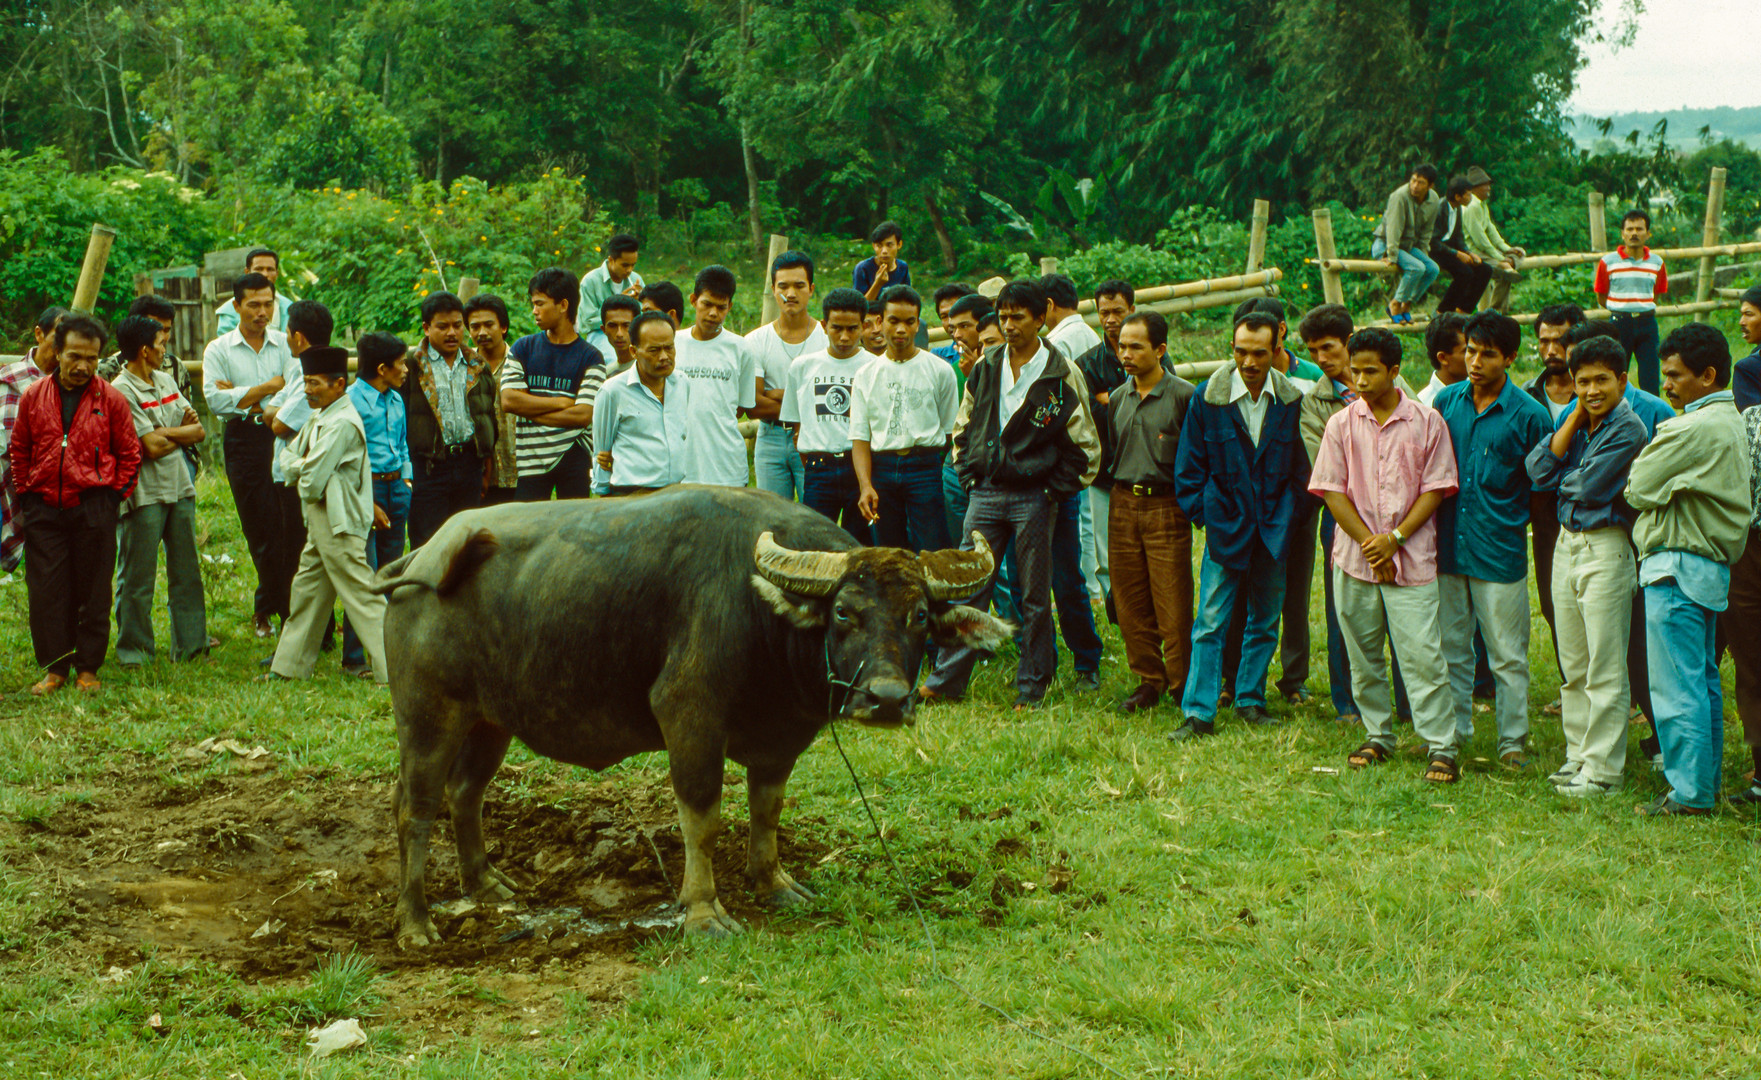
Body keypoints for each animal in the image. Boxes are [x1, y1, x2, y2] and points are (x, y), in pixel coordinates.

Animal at [371, 482, 1007, 937]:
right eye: (845, 612)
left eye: (919, 615)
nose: (887, 699)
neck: (764, 618)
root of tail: (420, 559)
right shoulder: (690, 719)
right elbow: (701, 818)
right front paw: (703, 912)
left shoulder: (780, 742)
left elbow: (767, 811)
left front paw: (774, 883)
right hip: (427, 717)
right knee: (414, 807)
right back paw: (415, 923)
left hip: (489, 720)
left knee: (465, 793)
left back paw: (485, 884)